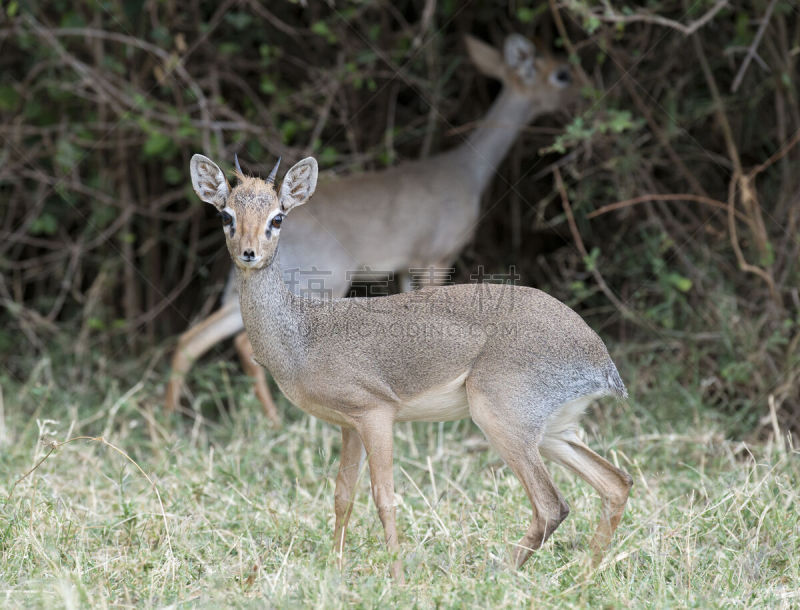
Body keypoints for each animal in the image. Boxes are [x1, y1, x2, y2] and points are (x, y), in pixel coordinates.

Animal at [164, 34, 576, 422]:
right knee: (238, 344)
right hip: (323, 283)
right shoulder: (435, 257)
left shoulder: (408, 268)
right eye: (561, 73)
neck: (466, 171)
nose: (577, 95)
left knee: (192, 339)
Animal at [191, 152, 636, 580]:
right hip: (554, 432)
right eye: (226, 215)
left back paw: (494, 575)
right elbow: (342, 496)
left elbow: (384, 498)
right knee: (616, 482)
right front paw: (335, 570)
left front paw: (398, 578)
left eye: (277, 217)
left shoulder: (375, 413)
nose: (249, 253)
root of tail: (600, 359)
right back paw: (582, 578)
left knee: (552, 505)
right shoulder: (348, 426)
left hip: (503, 421)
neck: (302, 336)